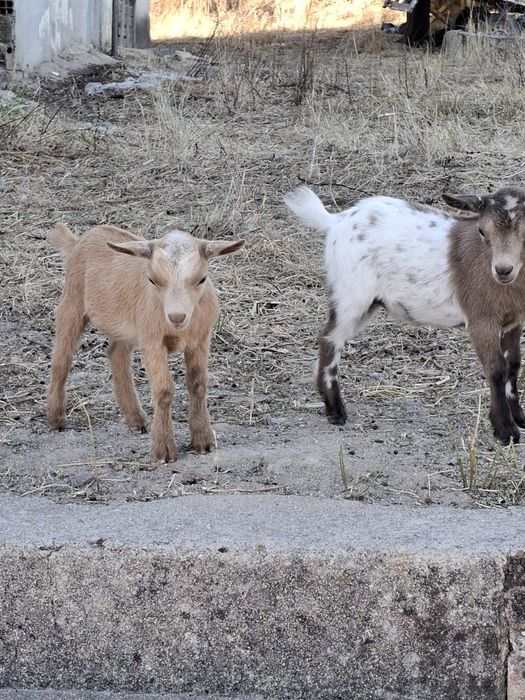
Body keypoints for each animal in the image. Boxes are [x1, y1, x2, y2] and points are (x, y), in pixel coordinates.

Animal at [47, 224, 245, 461]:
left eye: (202, 279)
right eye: (152, 280)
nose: (177, 317)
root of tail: (79, 241)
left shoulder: (200, 339)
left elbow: (198, 383)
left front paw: (203, 440)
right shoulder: (152, 340)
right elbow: (164, 389)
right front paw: (164, 449)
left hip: (126, 326)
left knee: (116, 353)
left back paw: (135, 419)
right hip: (72, 300)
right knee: (62, 359)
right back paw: (56, 418)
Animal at [285, 185, 525, 445]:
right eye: (482, 230)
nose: (503, 270)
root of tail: (336, 220)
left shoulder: (514, 321)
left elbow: (514, 363)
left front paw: (519, 416)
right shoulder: (481, 318)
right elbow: (497, 368)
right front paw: (505, 430)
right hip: (351, 295)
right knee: (330, 339)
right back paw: (336, 411)